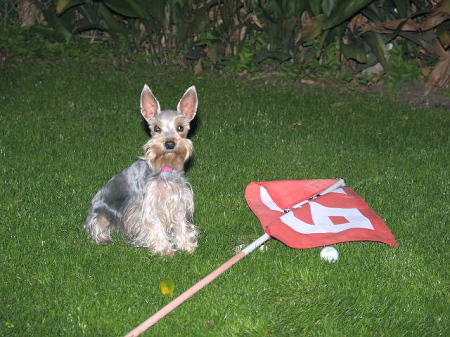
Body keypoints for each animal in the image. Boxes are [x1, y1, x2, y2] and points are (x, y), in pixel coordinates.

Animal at [83, 84, 198, 255]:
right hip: (101, 215)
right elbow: (155, 226)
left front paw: (186, 245)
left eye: (180, 127)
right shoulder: (148, 206)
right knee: (95, 227)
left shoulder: (178, 200)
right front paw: (164, 249)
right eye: (157, 128)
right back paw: (103, 238)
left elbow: (180, 224)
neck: (165, 168)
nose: (170, 143)